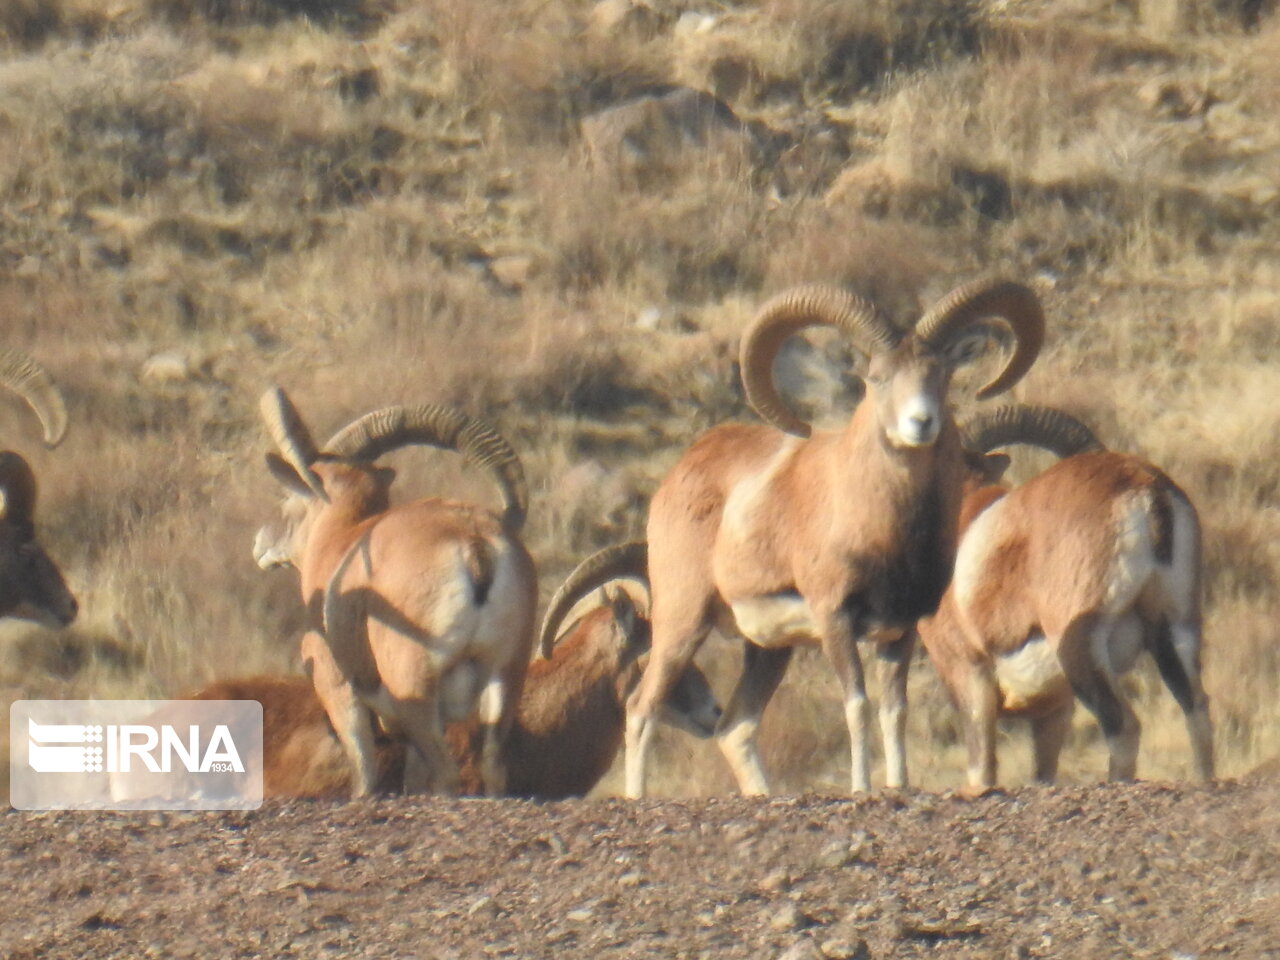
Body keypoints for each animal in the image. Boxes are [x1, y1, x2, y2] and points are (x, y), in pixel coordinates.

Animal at [254, 386, 535, 798]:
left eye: (288, 499)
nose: (261, 546)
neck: (342, 538)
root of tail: (475, 546)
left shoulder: (339, 689)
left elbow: (364, 774)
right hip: (505, 677)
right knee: (494, 767)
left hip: (413, 685)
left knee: (446, 774)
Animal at [624, 277, 1044, 798]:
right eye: (877, 378)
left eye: (942, 375)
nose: (921, 423)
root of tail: (683, 470)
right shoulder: (835, 620)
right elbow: (857, 706)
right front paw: (862, 788)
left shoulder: (900, 632)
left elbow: (893, 711)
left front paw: (898, 786)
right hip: (682, 624)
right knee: (642, 707)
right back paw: (636, 796)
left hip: (768, 650)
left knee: (735, 728)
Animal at [926, 407, 1213, 788]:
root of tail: (1147, 492)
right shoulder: (1054, 711)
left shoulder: (969, 675)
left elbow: (982, 770)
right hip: (1175, 631)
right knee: (1196, 712)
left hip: (1081, 649)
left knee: (1123, 726)